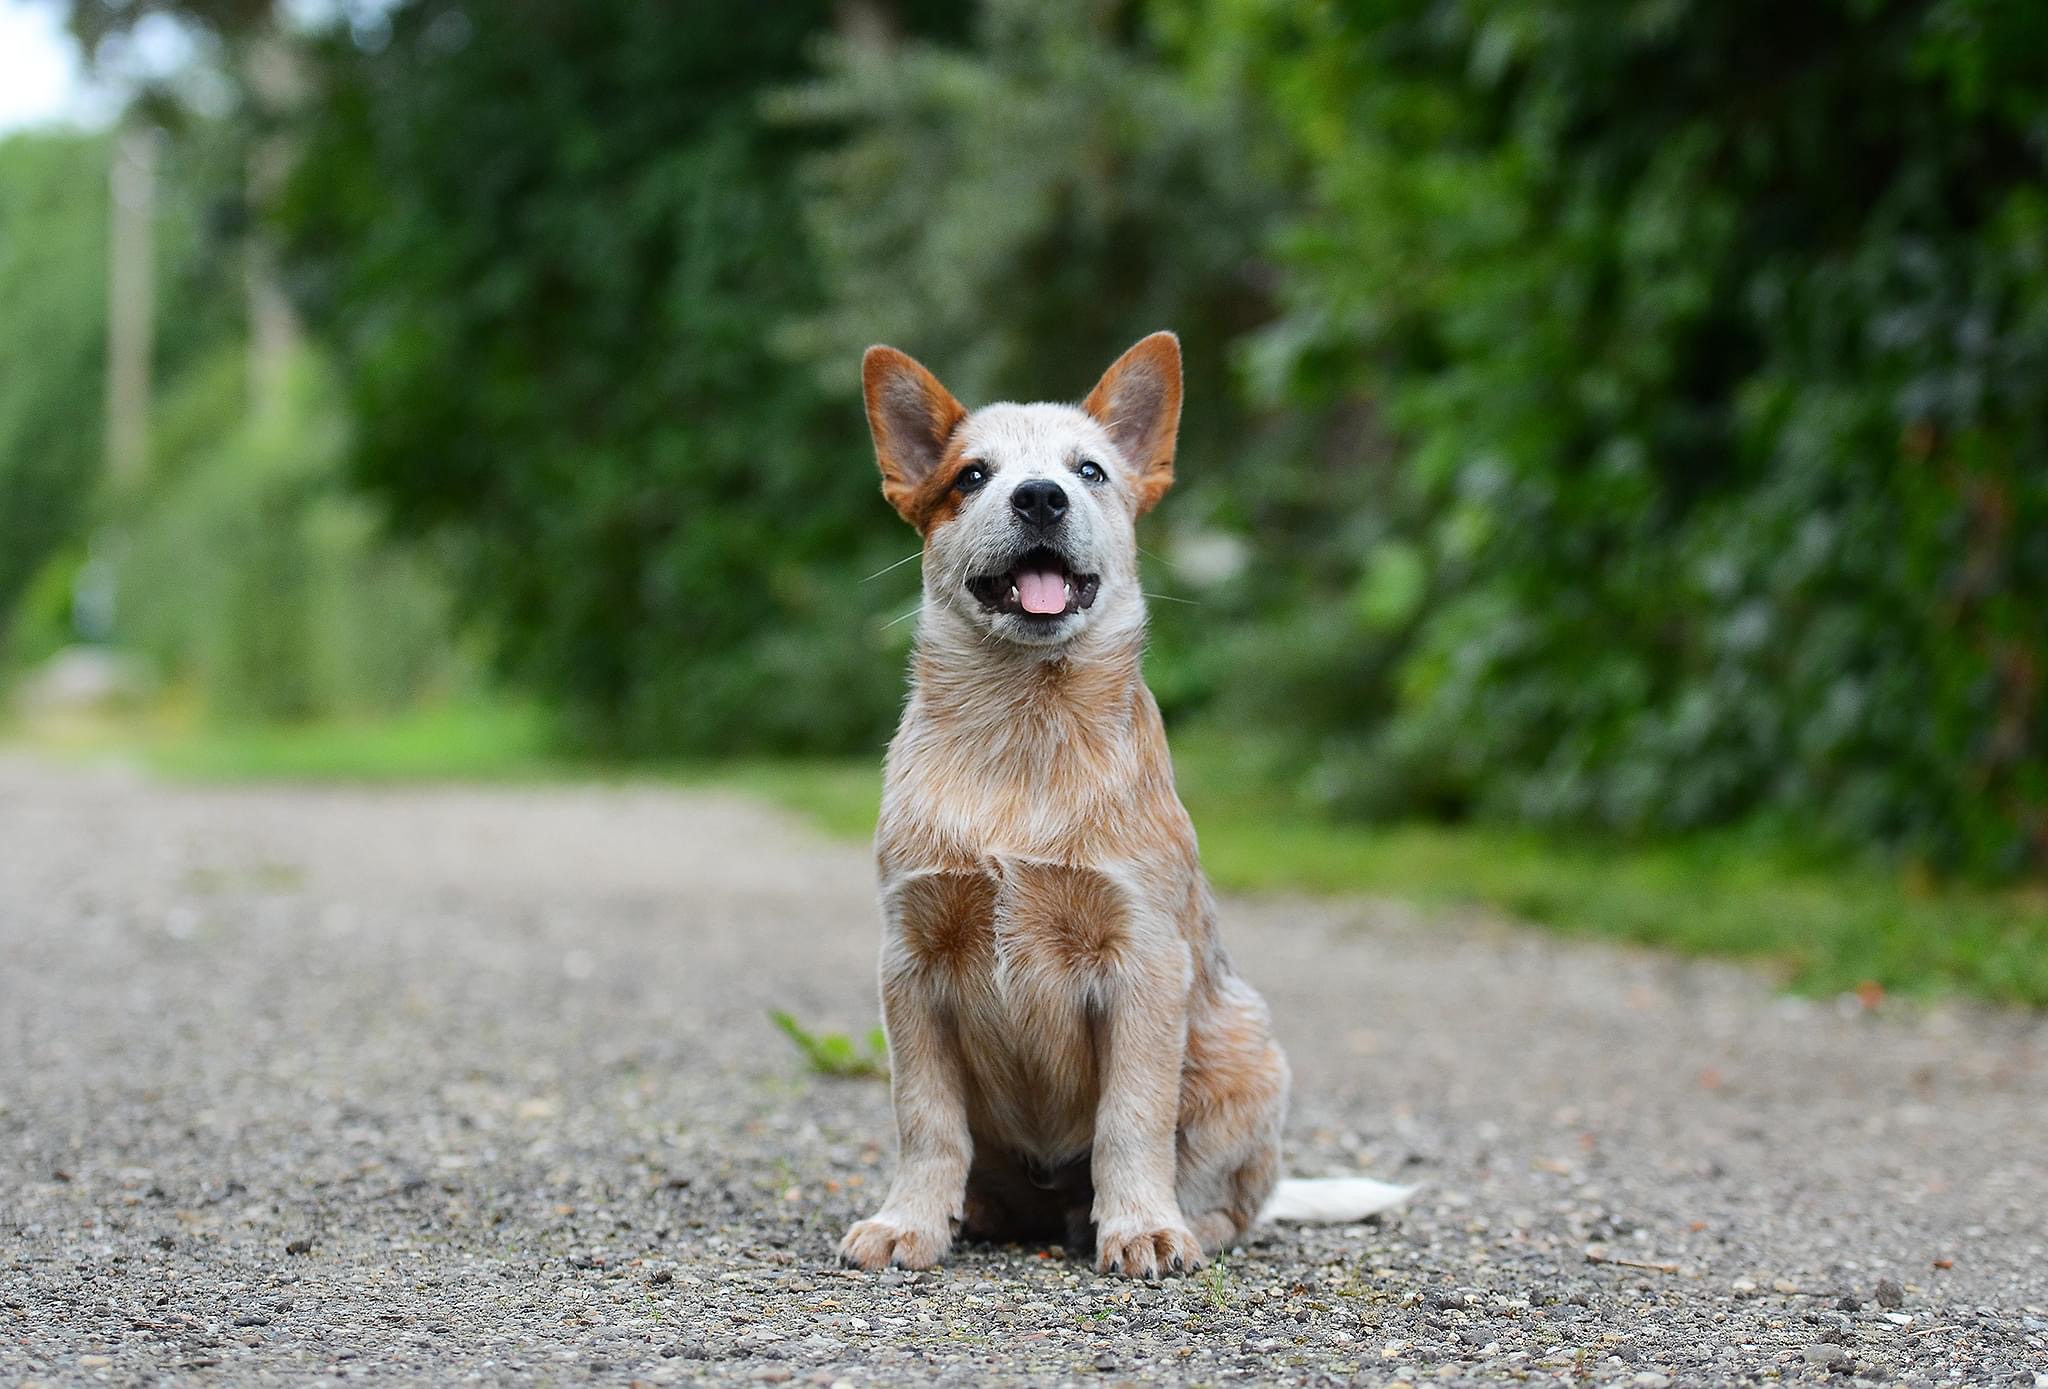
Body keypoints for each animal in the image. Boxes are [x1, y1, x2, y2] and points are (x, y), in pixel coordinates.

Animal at [840, 332, 1409, 1278]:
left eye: (1090, 469)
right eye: (970, 475)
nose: (1040, 495)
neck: (1023, 739)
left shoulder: (1141, 959)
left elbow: (1132, 1118)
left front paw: (1141, 1226)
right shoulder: (910, 960)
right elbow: (926, 1119)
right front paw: (908, 1220)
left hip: (1250, 1058)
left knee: (1239, 1200)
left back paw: (1180, 1221)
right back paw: (981, 1211)